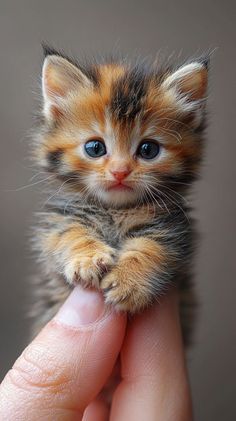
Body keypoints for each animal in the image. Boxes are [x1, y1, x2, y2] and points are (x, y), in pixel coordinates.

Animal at [29, 46, 208, 342]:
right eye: (94, 148)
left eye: (148, 149)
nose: (120, 172)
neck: (116, 210)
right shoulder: (57, 224)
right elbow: (69, 233)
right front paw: (87, 258)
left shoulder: (175, 231)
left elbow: (153, 248)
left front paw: (130, 283)